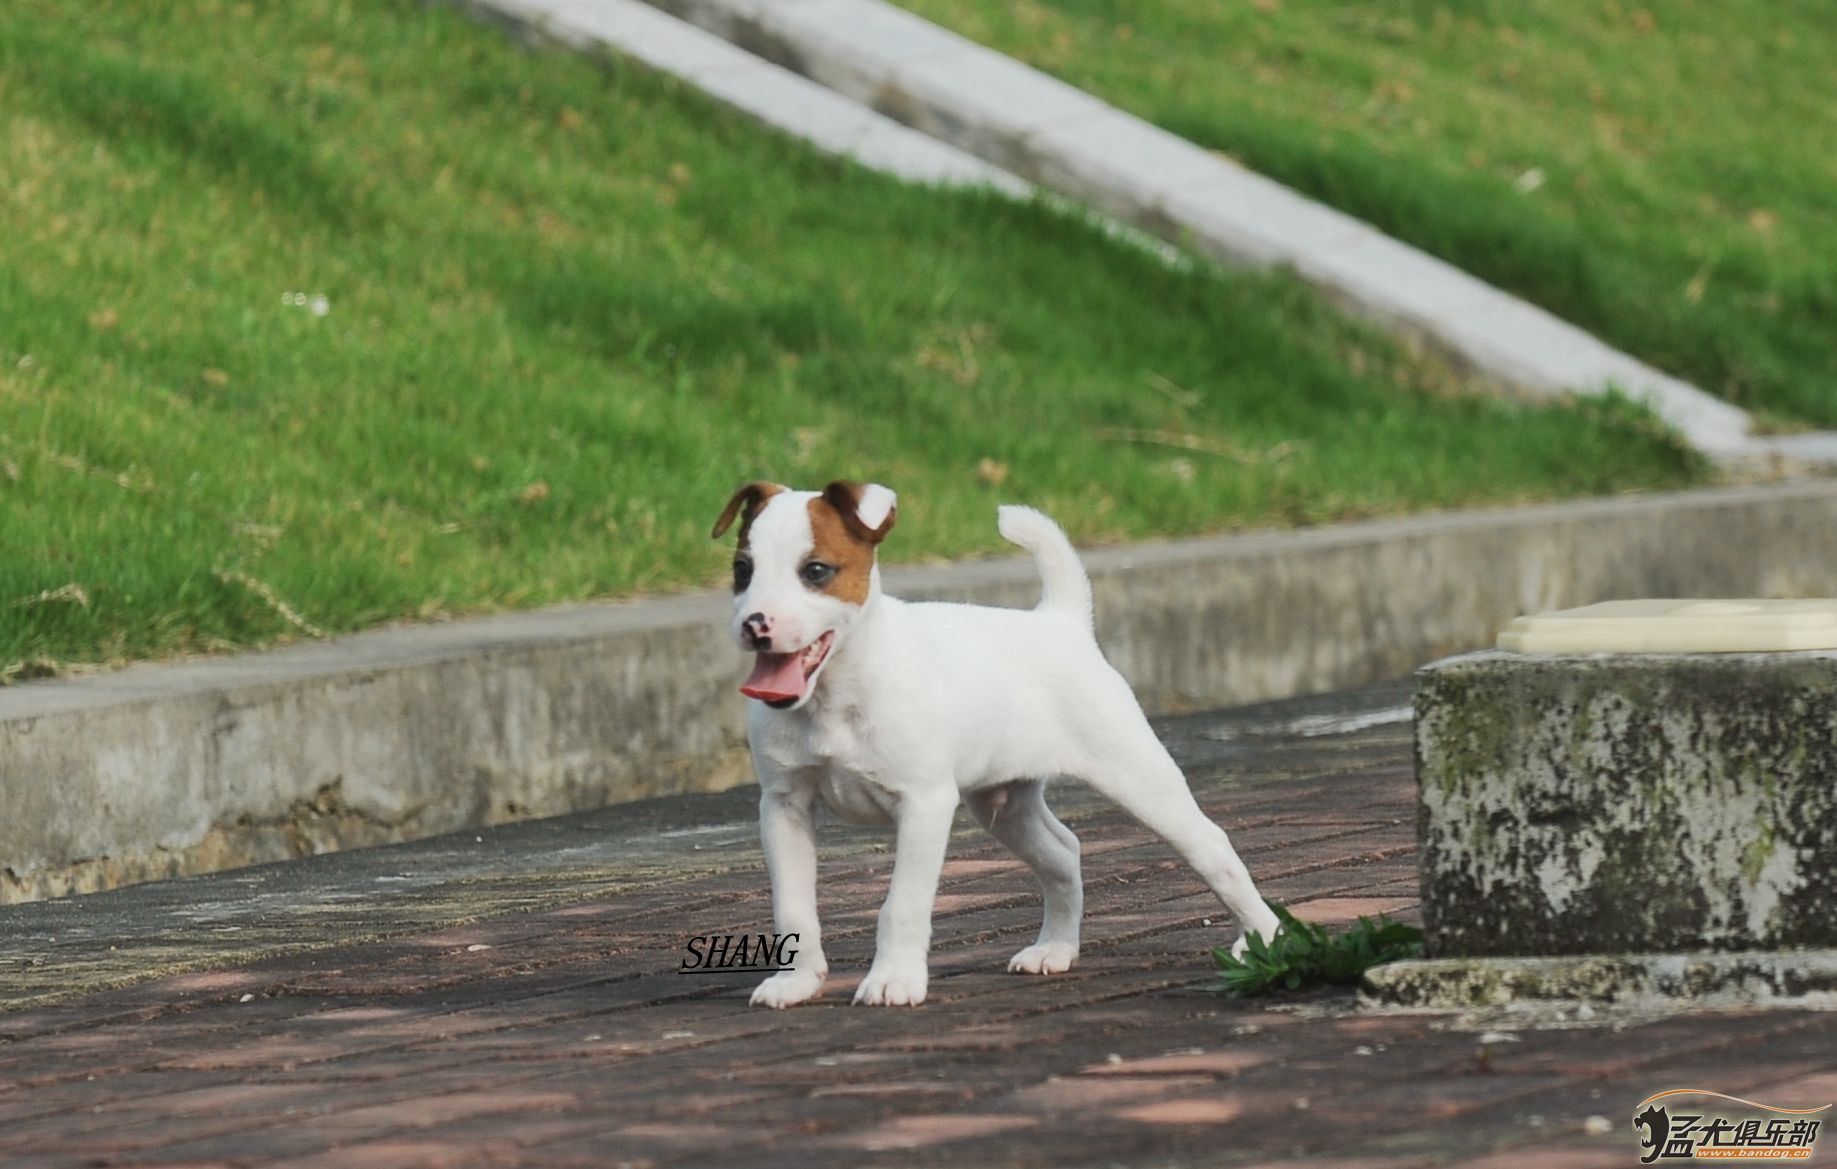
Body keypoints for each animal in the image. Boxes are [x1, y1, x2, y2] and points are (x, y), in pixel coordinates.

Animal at [709, 477, 1285, 1007]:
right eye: (742, 571)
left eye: (816, 572)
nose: (755, 624)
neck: (834, 694)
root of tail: (1061, 622)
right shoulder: (783, 807)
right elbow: (793, 907)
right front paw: (797, 981)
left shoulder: (924, 805)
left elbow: (903, 904)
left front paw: (894, 979)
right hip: (1004, 806)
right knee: (1063, 853)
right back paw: (1055, 949)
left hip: (1141, 780)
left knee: (1213, 846)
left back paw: (1260, 940)